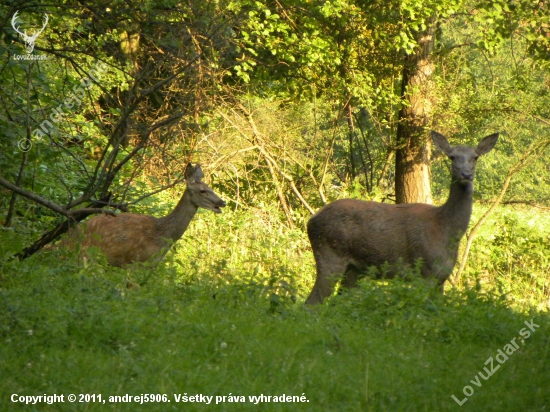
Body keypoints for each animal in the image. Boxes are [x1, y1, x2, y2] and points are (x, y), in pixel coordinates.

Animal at [80, 164, 226, 268]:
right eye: (202, 191)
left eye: (211, 188)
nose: (222, 202)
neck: (161, 235)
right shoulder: (134, 261)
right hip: (87, 254)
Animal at [306, 130, 500, 304]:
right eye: (452, 157)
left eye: (475, 157)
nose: (466, 174)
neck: (445, 228)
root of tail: (311, 220)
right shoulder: (425, 271)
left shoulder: (442, 277)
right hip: (329, 253)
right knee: (313, 302)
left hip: (354, 269)